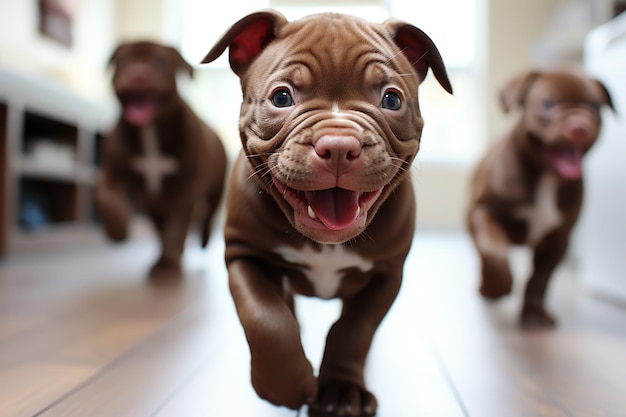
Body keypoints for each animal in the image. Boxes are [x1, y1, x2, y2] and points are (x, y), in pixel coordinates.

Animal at [100, 41, 229, 280]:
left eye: (161, 61)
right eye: (123, 60)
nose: (138, 74)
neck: (150, 130)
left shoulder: (184, 190)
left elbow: (176, 229)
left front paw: (168, 266)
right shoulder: (113, 173)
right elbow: (107, 197)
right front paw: (118, 230)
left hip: (216, 190)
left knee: (207, 217)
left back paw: (201, 243)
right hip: (155, 203)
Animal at [466, 67, 612, 328]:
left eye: (595, 107)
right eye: (548, 104)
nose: (579, 126)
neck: (546, 176)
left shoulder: (558, 239)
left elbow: (540, 279)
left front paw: (534, 314)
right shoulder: (483, 211)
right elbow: (493, 251)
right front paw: (496, 287)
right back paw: (486, 288)